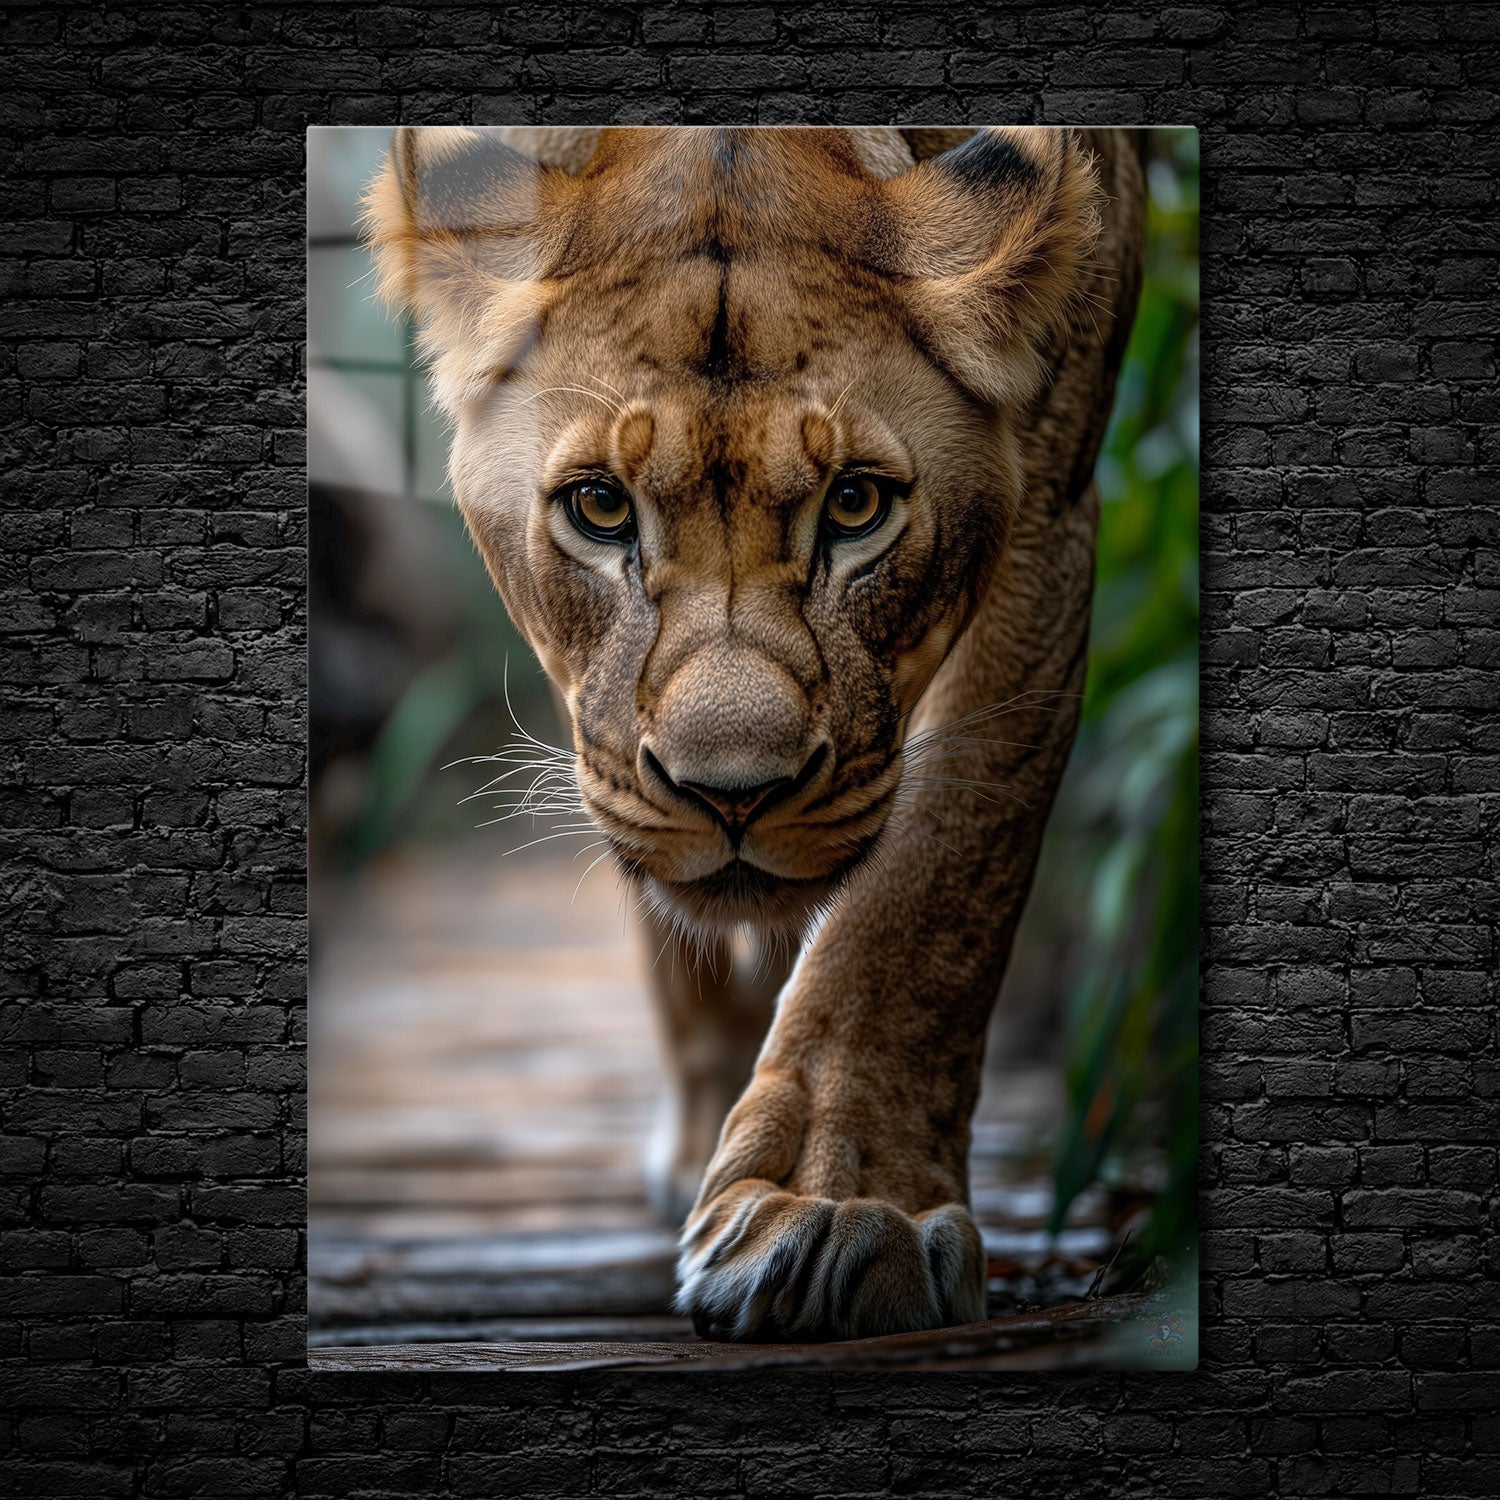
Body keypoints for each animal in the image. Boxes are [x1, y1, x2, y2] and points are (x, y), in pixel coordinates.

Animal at [364, 125, 1145, 1341]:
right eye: (599, 508)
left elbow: (936, 887)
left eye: (856, 506)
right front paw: (720, 1138)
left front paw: (838, 1212)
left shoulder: (1050, 500)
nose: (733, 793)